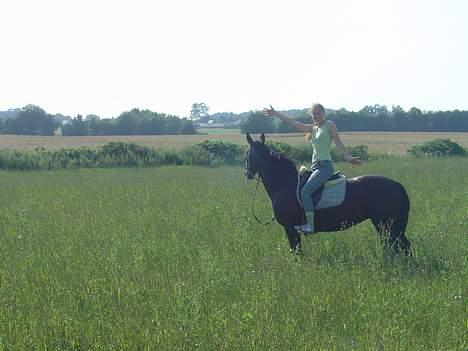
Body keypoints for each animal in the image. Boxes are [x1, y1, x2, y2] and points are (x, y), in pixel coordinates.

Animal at [243, 134, 412, 256]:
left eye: (248, 153)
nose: (247, 173)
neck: (284, 184)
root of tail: (397, 185)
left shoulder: (290, 228)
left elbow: (297, 252)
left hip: (385, 225)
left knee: (397, 246)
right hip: (389, 225)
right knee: (402, 246)